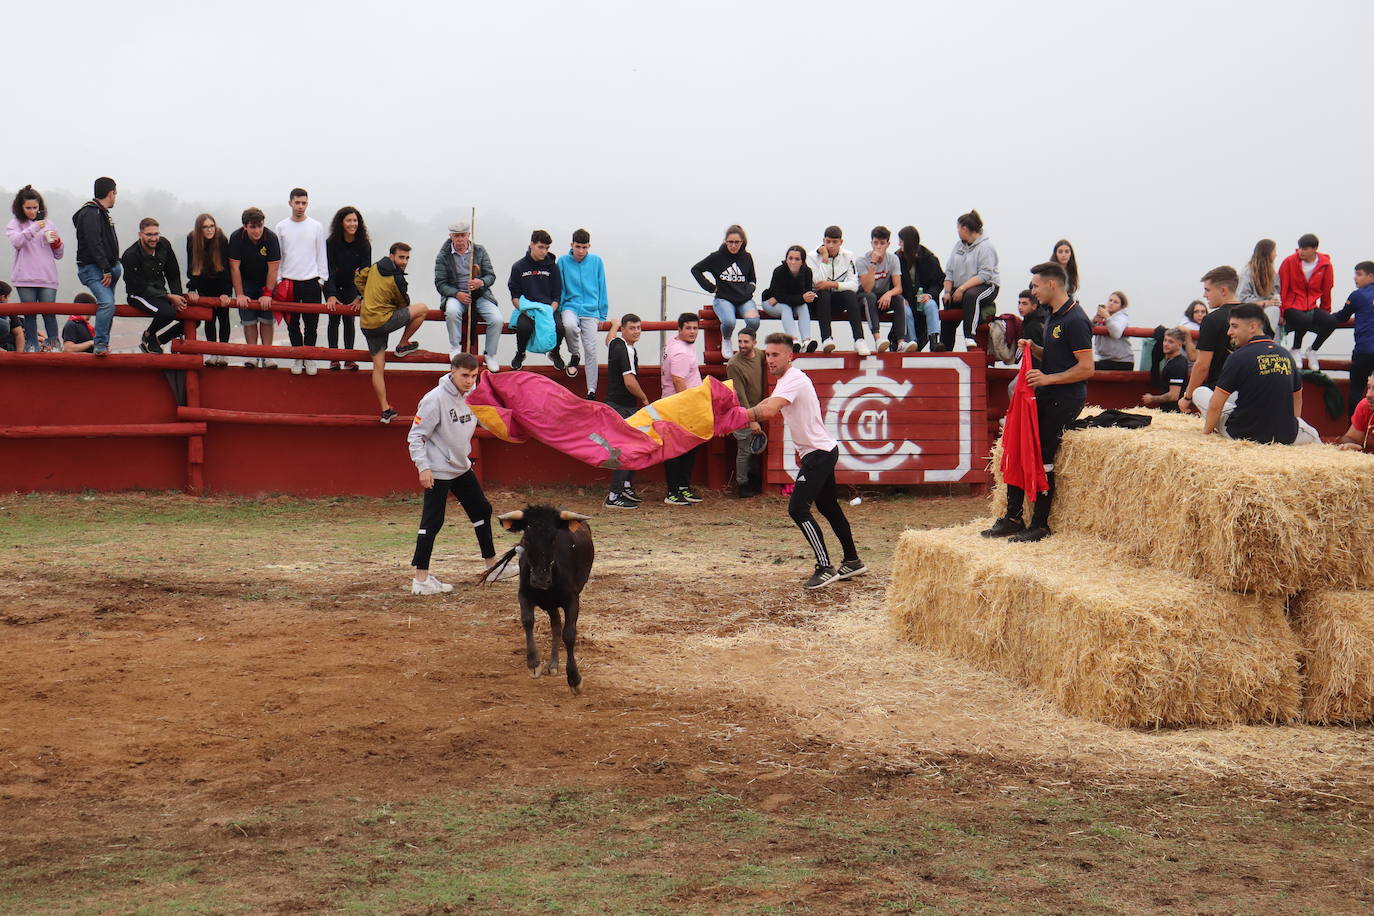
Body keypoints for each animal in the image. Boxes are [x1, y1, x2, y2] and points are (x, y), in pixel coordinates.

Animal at [500, 508, 596, 694]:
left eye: (553, 539)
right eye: (526, 538)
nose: (540, 580)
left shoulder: (572, 600)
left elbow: (569, 634)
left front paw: (574, 679)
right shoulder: (524, 594)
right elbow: (528, 620)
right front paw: (533, 664)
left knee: (558, 626)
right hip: (549, 604)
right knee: (556, 625)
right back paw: (552, 664)